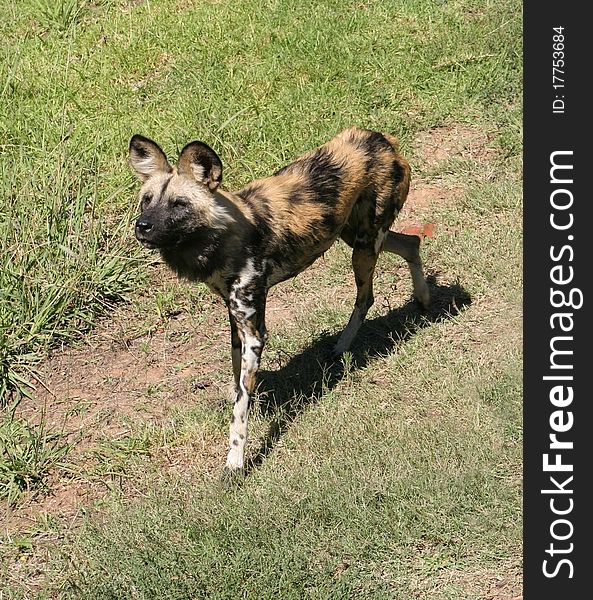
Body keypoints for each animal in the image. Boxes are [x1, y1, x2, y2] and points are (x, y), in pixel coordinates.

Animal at [127, 129, 428, 480]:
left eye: (179, 204)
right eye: (147, 200)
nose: (142, 226)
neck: (220, 238)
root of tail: (379, 139)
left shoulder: (254, 333)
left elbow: (239, 413)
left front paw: (235, 461)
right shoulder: (236, 321)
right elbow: (239, 383)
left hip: (364, 247)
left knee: (366, 296)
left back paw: (343, 346)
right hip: (354, 237)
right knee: (411, 243)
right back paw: (423, 301)